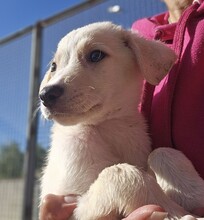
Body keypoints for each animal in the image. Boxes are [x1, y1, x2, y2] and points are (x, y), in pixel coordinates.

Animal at [39, 21, 204, 219]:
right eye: (54, 66)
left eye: (95, 55)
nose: (45, 95)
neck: (109, 126)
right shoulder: (71, 204)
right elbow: (119, 171)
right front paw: (175, 213)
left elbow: (163, 152)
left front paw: (194, 193)